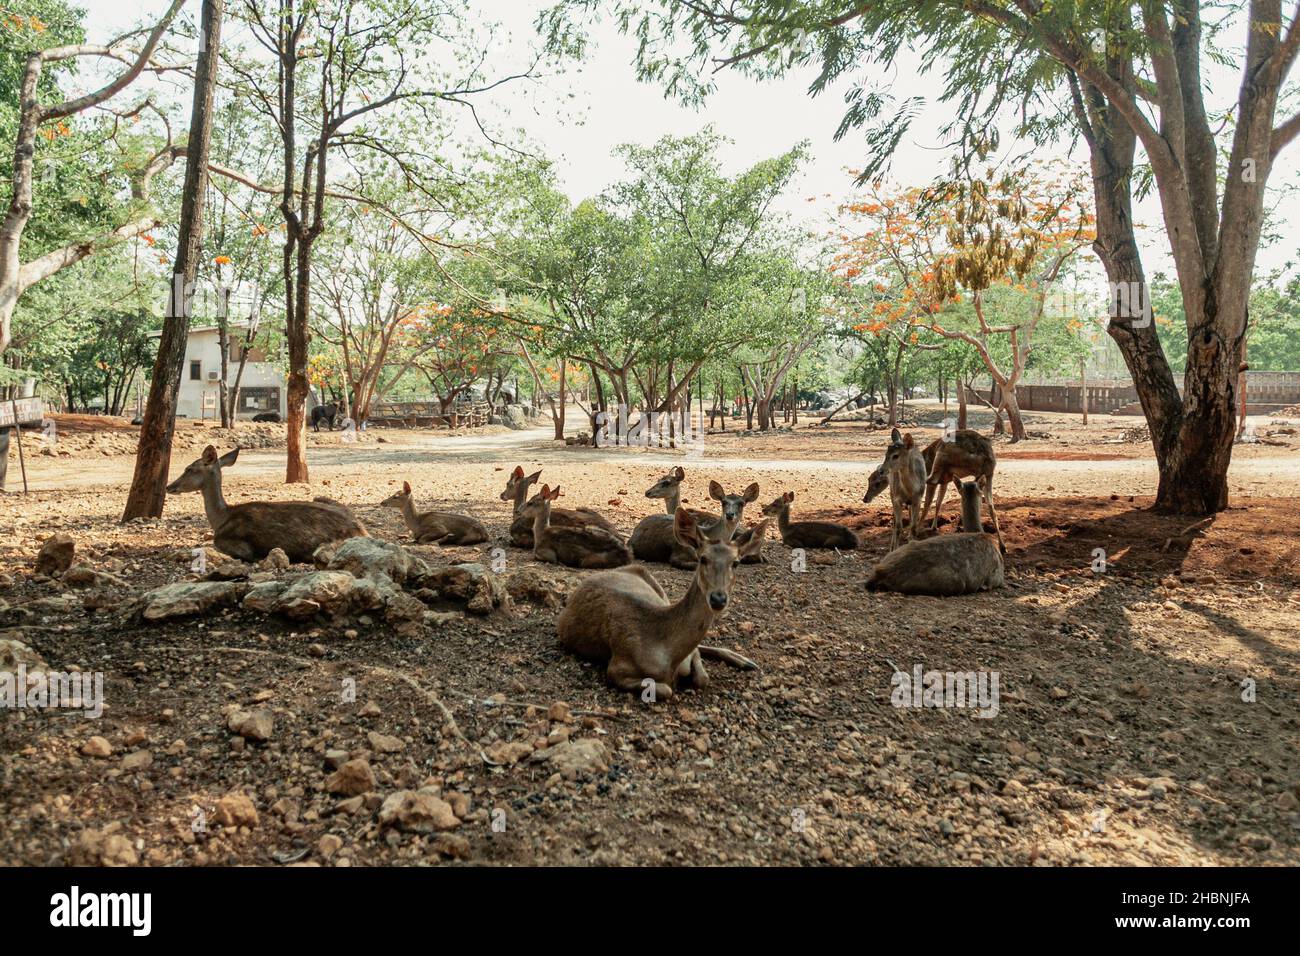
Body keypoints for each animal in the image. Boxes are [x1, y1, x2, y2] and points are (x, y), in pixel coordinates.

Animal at [165, 444, 366, 564]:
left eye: (189, 469)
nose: (169, 486)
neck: (221, 518)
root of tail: (362, 531)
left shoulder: (232, 542)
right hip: (323, 498)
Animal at [556, 509, 759, 702]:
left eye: (736, 562)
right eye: (702, 558)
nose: (718, 599)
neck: (669, 655)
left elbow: (702, 677)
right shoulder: (617, 667)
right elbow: (666, 689)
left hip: (659, 589)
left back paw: (745, 661)